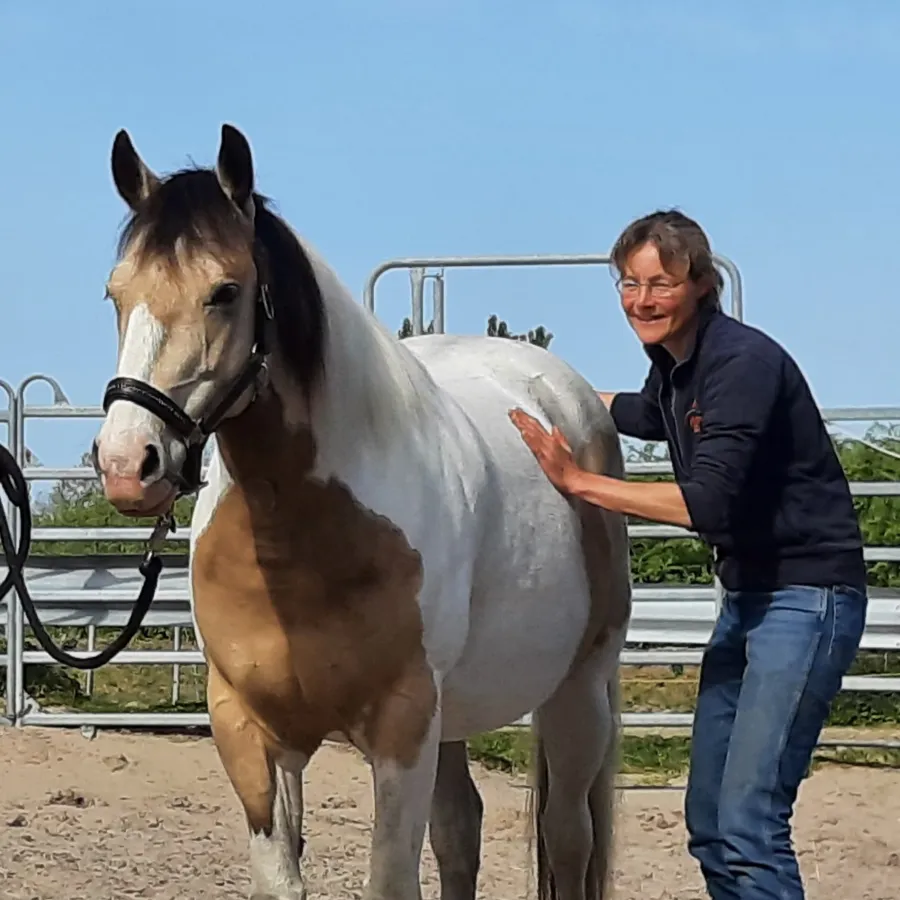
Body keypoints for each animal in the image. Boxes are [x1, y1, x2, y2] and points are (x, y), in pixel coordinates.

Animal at [91, 121, 632, 900]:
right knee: (461, 830)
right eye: (115, 294)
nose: (128, 464)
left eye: (224, 291)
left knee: (567, 838)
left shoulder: (402, 728)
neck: (300, 540)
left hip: (576, 693)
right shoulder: (249, 730)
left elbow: (391, 879)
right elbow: (283, 876)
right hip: (458, 717)